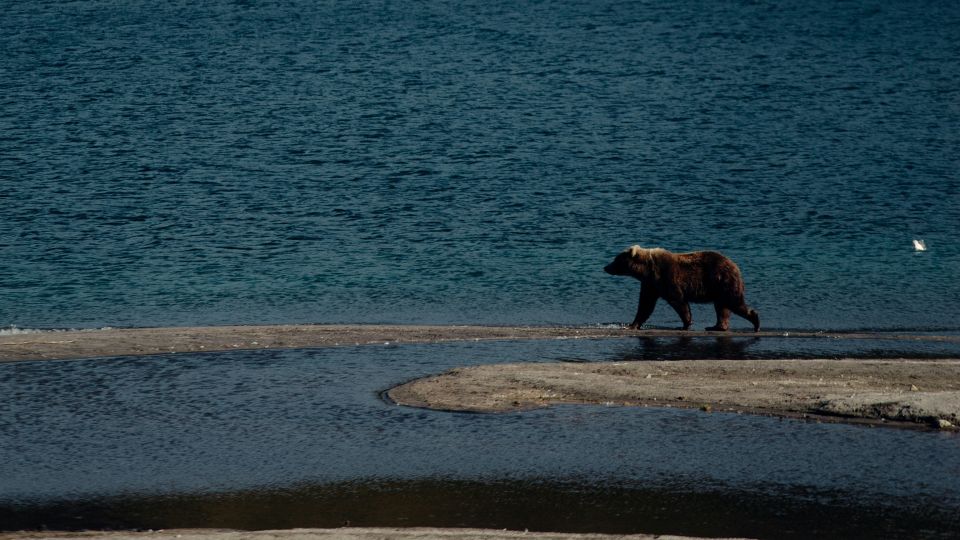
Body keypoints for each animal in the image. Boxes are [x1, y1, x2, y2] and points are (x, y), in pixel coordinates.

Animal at [604, 246, 760, 332]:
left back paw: (755, 321)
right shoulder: (650, 284)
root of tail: (735, 265)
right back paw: (716, 326)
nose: (605, 267)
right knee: (722, 307)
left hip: (723, 281)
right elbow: (645, 305)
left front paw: (685, 324)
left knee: (733, 302)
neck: (647, 270)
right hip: (719, 287)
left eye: (616, 259)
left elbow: (678, 301)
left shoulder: (666, 277)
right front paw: (632, 325)